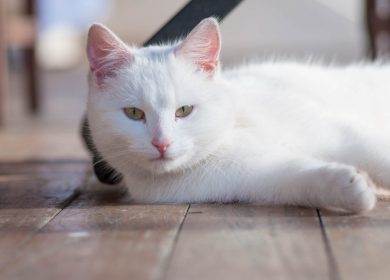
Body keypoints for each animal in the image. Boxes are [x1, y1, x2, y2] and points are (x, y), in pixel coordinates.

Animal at [84, 17, 390, 212]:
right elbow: (300, 177)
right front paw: (352, 188)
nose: (161, 143)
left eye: (184, 110)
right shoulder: (259, 175)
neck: (230, 133)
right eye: (134, 113)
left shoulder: (338, 133)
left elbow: (374, 153)